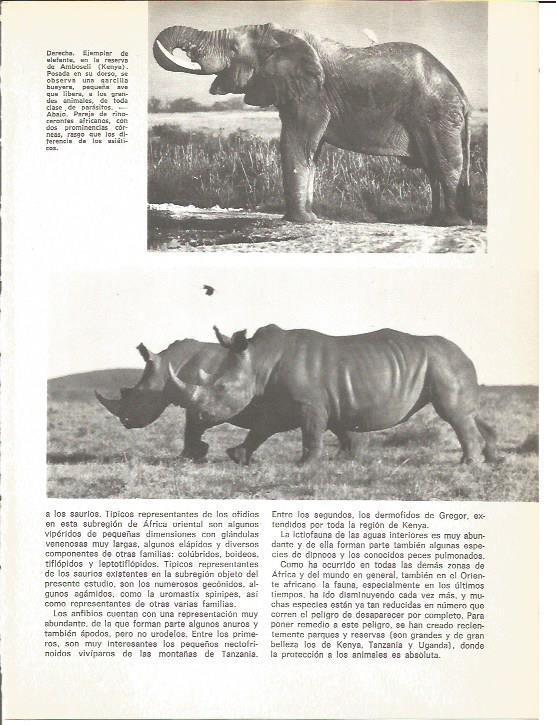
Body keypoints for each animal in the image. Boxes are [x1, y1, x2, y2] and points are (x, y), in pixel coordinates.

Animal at [153, 22, 473, 226]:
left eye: (233, 48)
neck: (283, 36)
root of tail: (461, 92)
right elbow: (311, 152)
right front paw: (310, 218)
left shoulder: (313, 95)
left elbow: (296, 143)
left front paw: (301, 220)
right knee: (433, 167)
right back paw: (434, 221)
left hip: (437, 112)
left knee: (445, 163)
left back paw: (452, 223)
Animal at [167, 325, 498, 466]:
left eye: (222, 389)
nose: (197, 415)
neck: (258, 360)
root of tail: (465, 353)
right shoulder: (288, 402)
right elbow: (264, 427)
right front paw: (237, 456)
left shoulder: (308, 403)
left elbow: (311, 433)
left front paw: (305, 465)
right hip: (446, 363)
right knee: (468, 411)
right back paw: (492, 458)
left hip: (444, 362)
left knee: (453, 413)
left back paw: (468, 464)